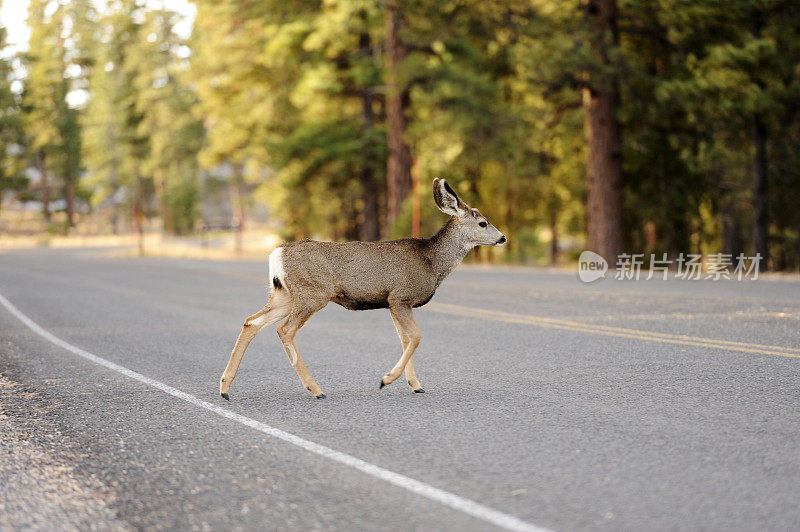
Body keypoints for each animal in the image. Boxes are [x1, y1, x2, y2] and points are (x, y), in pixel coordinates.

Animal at [219, 178, 506, 400]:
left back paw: (225, 387)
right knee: (284, 330)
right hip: (312, 293)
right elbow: (415, 337)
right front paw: (386, 379)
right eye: (483, 223)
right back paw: (315, 389)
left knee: (251, 322)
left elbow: (405, 339)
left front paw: (415, 385)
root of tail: (276, 254)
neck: (431, 262)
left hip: (284, 295)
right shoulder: (401, 296)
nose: (502, 238)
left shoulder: (392, 302)